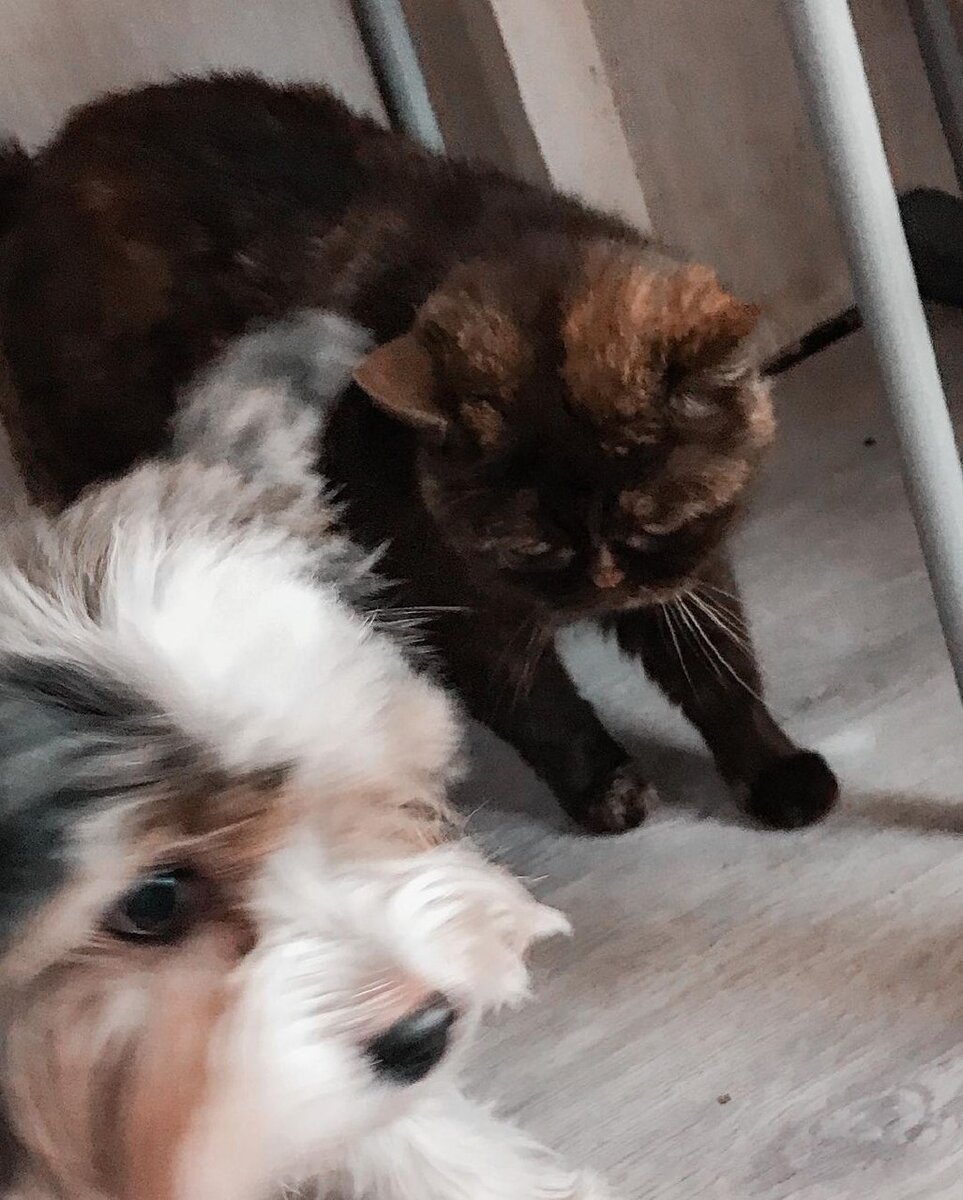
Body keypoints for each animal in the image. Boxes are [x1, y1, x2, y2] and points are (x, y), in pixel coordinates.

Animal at [0, 72, 837, 835]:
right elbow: (539, 704)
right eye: (531, 545)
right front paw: (604, 789)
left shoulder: (686, 570)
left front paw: (774, 772)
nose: (600, 588)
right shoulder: (447, 592)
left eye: (651, 524)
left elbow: (717, 668)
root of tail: (35, 171)